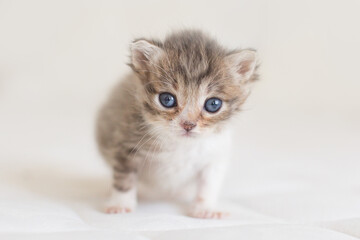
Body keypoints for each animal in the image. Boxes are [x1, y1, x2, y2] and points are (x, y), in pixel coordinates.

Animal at [96, 29, 258, 218]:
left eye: (213, 104)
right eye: (167, 99)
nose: (188, 124)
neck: (180, 145)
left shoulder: (214, 155)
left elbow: (208, 184)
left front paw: (205, 208)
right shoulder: (126, 144)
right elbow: (124, 177)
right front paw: (120, 204)